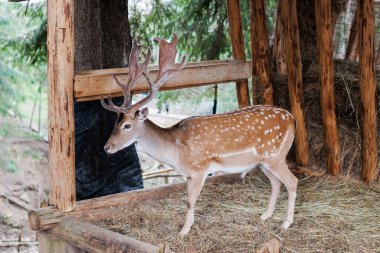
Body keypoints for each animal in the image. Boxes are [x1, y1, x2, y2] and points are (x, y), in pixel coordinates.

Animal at [102, 33, 298, 235]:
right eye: (115, 123)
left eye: (127, 125)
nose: (107, 147)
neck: (176, 151)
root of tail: (292, 119)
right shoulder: (188, 175)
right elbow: (188, 199)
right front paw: (189, 225)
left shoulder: (199, 169)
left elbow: (190, 201)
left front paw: (184, 231)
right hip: (264, 162)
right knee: (276, 183)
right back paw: (265, 215)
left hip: (276, 156)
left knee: (293, 181)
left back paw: (286, 223)